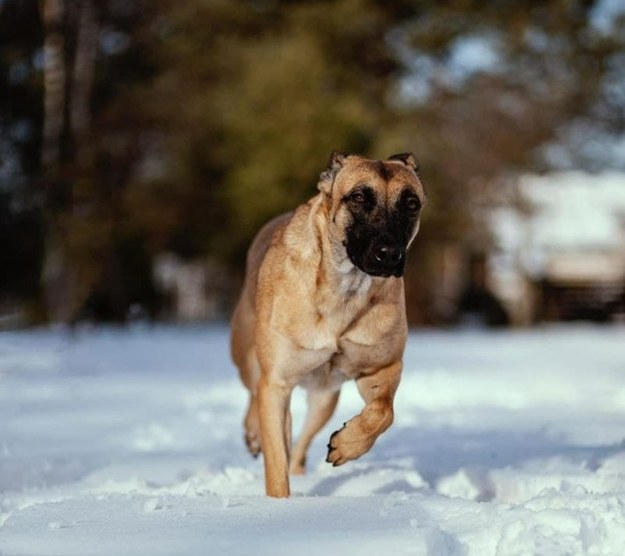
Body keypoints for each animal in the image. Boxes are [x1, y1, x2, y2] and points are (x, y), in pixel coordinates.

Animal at [229, 151, 424, 496]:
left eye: (411, 203)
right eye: (358, 197)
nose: (389, 253)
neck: (345, 290)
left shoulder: (382, 367)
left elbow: (383, 412)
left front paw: (347, 444)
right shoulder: (277, 383)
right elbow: (276, 466)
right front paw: (276, 504)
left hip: (324, 397)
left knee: (301, 444)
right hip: (248, 357)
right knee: (255, 395)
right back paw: (253, 434)